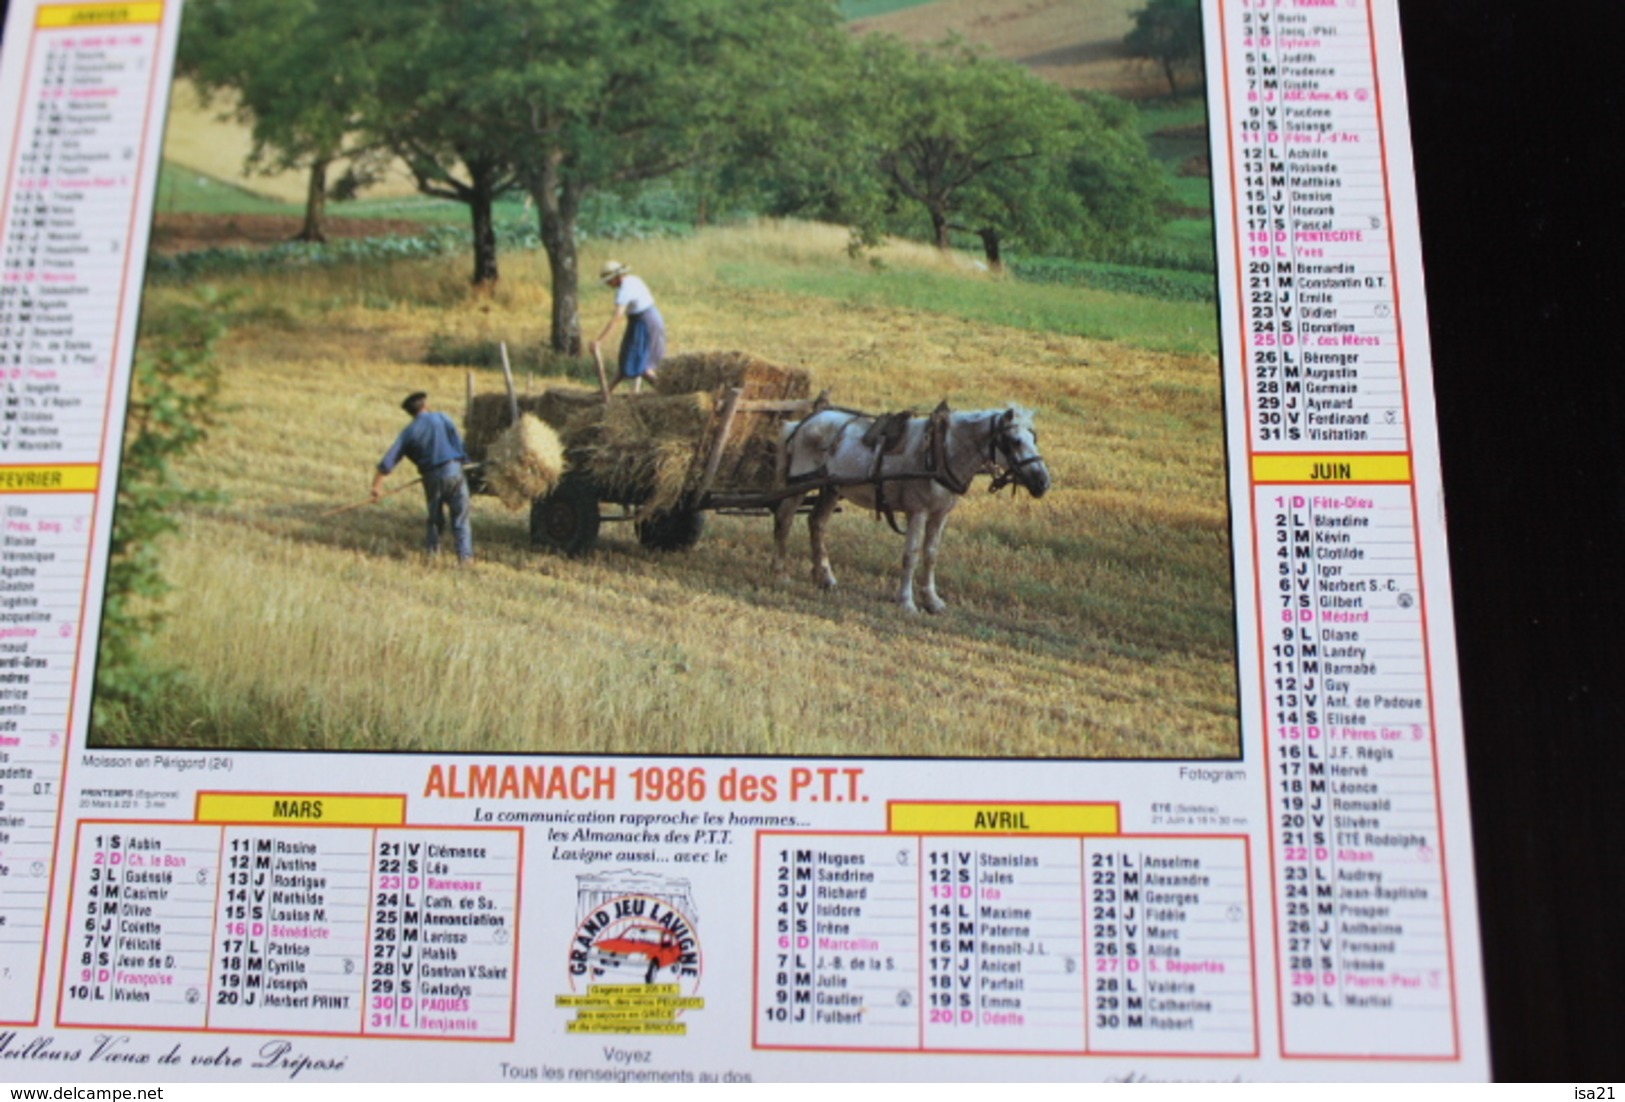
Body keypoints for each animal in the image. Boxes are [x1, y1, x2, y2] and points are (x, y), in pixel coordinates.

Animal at [773, 403, 1053, 614]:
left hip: (832, 488)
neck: (940, 453)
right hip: (799, 484)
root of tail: (802, 424)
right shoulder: (918, 512)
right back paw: (782, 573)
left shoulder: (940, 514)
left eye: (1034, 437)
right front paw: (906, 601)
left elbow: (931, 554)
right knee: (784, 520)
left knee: (817, 523)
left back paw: (824, 577)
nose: (1043, 482)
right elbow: (912, 554)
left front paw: (932, 600)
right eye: (1014, 441)